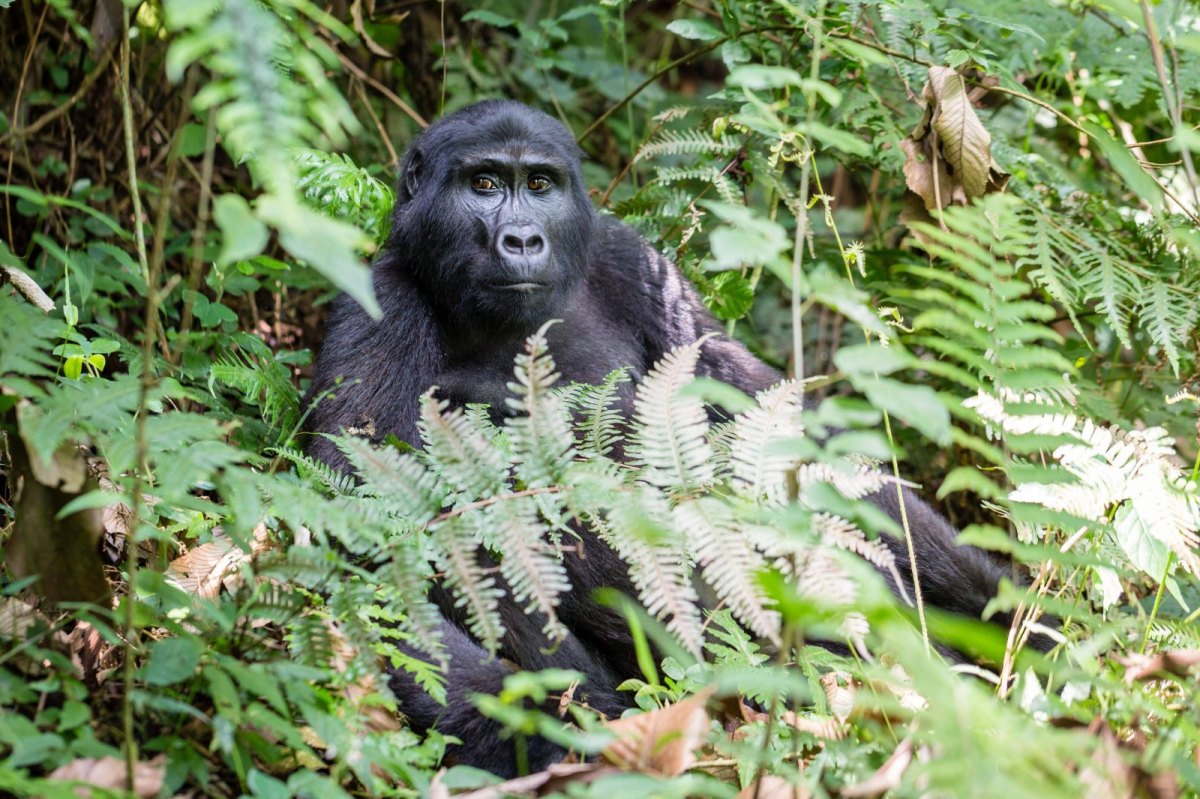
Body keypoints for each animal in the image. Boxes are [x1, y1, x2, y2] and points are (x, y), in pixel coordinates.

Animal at [307, 97, 1022, 772]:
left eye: (539, 184)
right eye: (482, 184)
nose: (523, 240)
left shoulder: (631, 259)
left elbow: (766, 418)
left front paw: (1006, 608)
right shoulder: (380, 300)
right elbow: (366, 542)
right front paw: (544, 743)